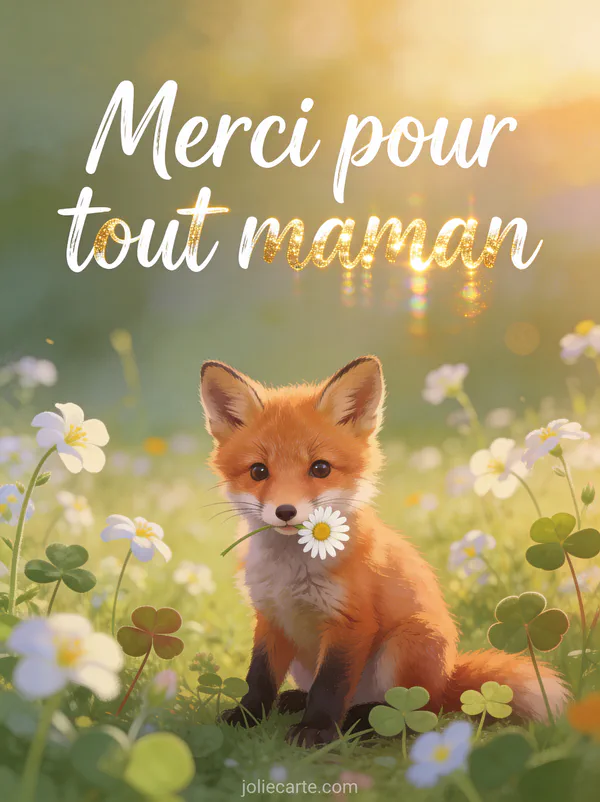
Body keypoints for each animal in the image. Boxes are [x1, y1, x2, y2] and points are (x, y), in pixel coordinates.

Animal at [199, 355, 568, 747]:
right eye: (258, 471)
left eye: (320, 468)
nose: (286, 511)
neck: (293, 572)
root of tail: (448, 678)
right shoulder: (271, 618)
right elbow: (259, 678)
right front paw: (246, 717)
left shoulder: (351, 623)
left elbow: (330, 686)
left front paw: (316, 728)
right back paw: (297, 701)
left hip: (406, 643)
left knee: (414, 714)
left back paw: (359, 721)